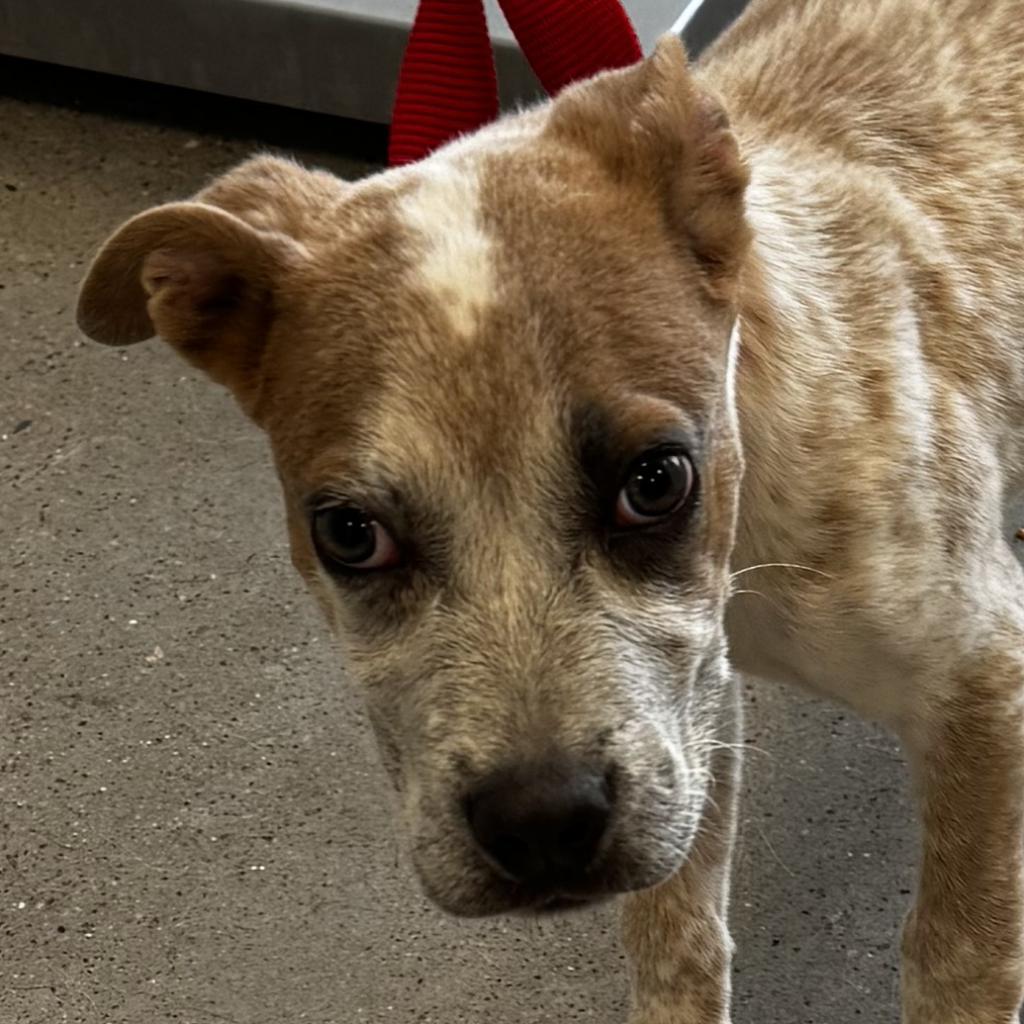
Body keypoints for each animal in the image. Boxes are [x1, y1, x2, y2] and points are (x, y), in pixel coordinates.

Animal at [77, 0, 1024, 1019]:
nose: (540, 825)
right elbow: (676, 940)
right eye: (349, 534)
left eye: (656, 480)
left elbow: (956, 955)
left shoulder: (984, 676)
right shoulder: (691, 707)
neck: (746, 541)